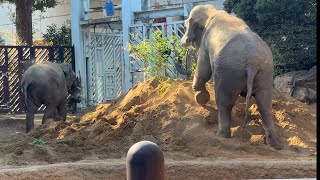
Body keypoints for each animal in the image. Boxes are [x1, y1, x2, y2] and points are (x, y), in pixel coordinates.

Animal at [181, 4, 282, 150]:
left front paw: (200, 97)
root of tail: (251, 62)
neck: (213, 11)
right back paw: (274, 144)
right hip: (265, 72)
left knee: (224, 103)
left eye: (185, 24)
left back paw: (221, 135)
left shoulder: (205, 43)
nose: (183, 41)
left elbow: (203, 67)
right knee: (265, 106)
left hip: (229, 73)